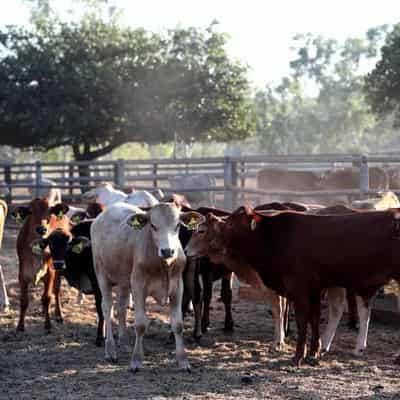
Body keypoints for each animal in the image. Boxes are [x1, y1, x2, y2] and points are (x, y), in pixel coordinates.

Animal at [16, 198, 69, 332]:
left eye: (50, 212)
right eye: (30, 211)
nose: (41, 229)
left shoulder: (50, 272)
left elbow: (47, 298)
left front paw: (48, 325)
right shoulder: (22, 274)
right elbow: (23, 300)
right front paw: (20, 326)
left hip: (58, 268)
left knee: (56, 290)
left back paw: (59, 315)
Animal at [185, 206, 400, 366]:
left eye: (202, 230)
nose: (186, 250)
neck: (273, 238)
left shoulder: (300, 290)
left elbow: (302, 321)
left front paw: (298, 356)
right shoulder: (314, 289)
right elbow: (314, 319)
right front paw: (313, 352)